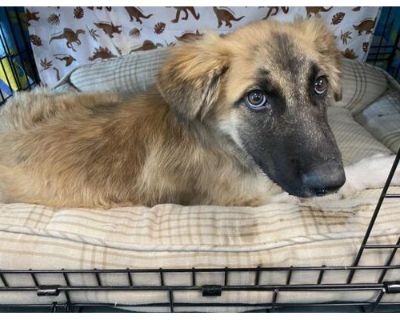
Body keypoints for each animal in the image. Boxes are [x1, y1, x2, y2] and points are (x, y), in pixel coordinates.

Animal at [0, 18, 394, 208]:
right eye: (256, 99)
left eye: (319, 85)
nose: (329, 179)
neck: (219, 139)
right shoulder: (253, 198)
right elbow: (347, 182)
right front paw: (385, 167)